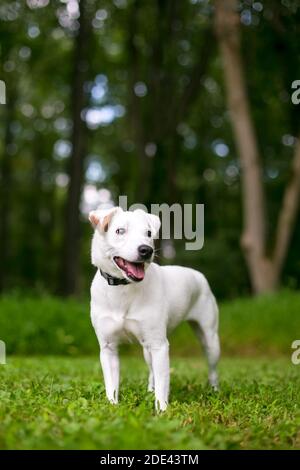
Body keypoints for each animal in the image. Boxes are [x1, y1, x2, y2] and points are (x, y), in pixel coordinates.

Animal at [89, 207, 220, 412]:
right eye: (120, 231)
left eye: (149, 233)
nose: (146, 250)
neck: (123, 288)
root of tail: (198, 275)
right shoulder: (108, 347)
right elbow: (112, 385)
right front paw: (112, 406)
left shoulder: (160, 346)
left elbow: (162, 382)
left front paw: (162, 410)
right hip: (146, 349)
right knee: (151, 370)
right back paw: (149, 389)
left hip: (210, 339)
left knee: (212, 367)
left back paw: (214, 390)